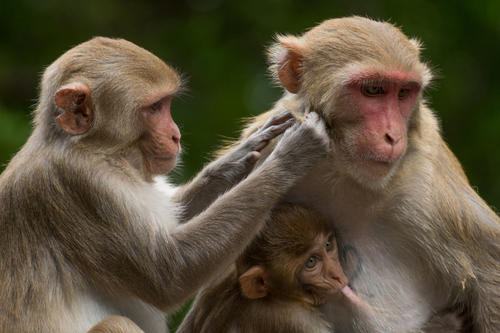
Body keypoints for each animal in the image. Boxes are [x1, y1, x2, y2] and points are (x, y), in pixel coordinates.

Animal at [0, 37, 332, 332]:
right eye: (154, 107)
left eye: (167, 104)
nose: (176, 135)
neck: (99, 151)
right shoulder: (82, 187)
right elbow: (171, 274)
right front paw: (289, 157)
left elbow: (175, 215)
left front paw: (236, 159)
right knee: (116, 323)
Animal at [176, 202, 364, 332]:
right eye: (311, 262)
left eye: (328, 245)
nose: (337, 276)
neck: (277, 296)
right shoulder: (296, 321)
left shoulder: (222, 276)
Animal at [216, 16, 500, 330]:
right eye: (373, 90)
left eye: (403, 93)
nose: (393, 136)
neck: (343, 170)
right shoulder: (268, 147)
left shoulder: (424, 184)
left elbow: (490, 272)